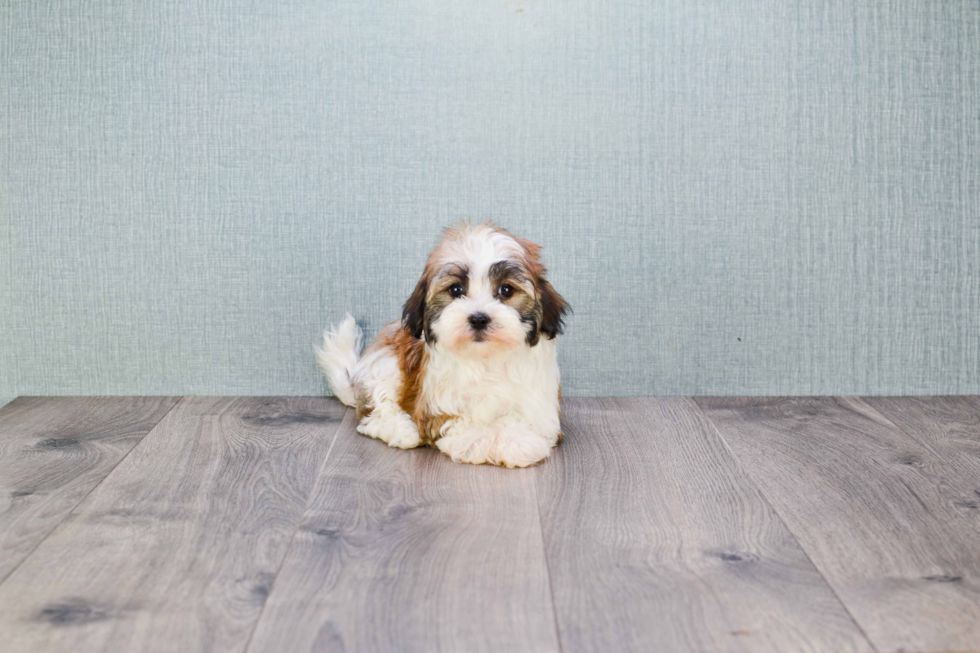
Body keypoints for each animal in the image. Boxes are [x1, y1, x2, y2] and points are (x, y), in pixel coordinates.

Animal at [318, 222, 572, 466]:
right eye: (456, 289)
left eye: (506, 289)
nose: (479, 318)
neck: (485, 358)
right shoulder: (436, 407)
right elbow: (460, 422)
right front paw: (477, 441)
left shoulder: (540, 405)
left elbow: (520, 420)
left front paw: (517, 443)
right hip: (383, 364)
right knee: (374, 411)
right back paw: (403, 430)